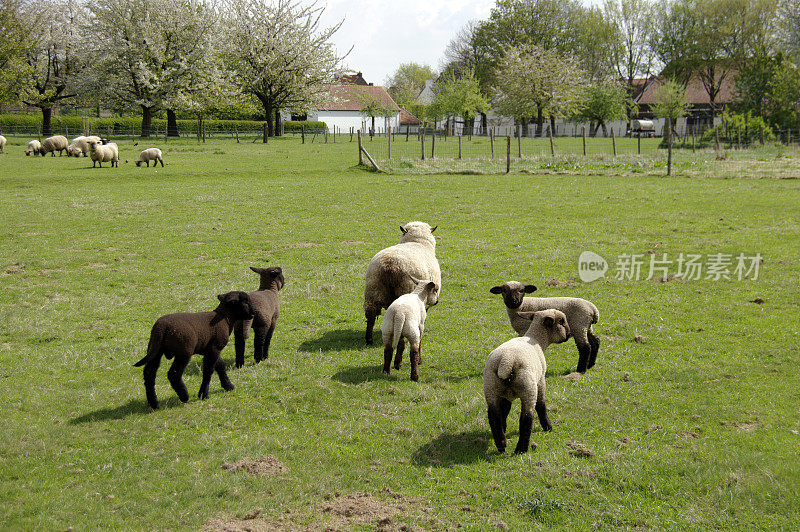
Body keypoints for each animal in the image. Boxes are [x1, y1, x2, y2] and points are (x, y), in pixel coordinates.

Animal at [484, 308, 572, 454]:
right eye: (561, 322)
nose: (569, 334)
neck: (537, 339)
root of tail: (506, 361)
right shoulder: (541, 381)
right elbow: (541, 405)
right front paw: (548, 427)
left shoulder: (505, 395)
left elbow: (505, 410)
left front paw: (504, 428)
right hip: (528, 388)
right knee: (526, 418)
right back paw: (521, 449)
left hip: (491, 387)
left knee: (493, 416)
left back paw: (501, 443)